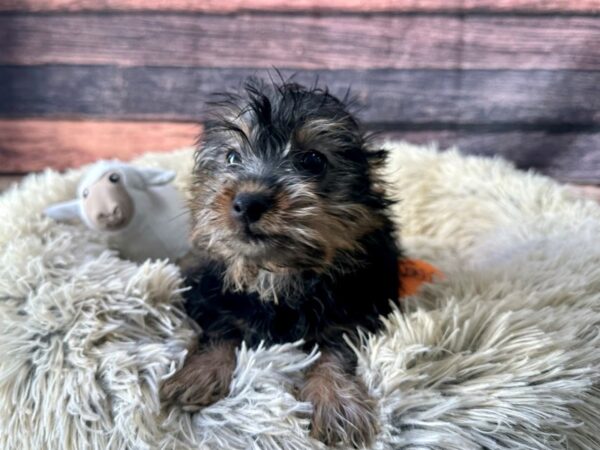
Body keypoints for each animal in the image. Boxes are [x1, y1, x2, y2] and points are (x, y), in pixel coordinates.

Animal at [162, 77, 400, 446]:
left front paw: (337, 403)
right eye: (232, 157)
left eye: (313, 161)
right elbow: (220, 330)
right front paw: (196, 374)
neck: (277, 272)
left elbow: (336, 349)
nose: (248, 202)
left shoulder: (357, 307)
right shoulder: (213, 295)